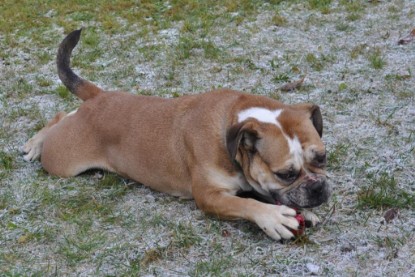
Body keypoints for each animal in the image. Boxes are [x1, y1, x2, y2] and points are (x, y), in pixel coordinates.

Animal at [24, 28, 334, 239]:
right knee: (58, 120)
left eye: (322, 158)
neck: (231, 127)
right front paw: (272, 218)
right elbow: (244, 203)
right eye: (286, 174)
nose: (317, 187)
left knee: (65, 113)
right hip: (63, 162)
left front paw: (304, 211)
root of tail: (99, 97)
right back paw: (34, 144)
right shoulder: (210, 196)